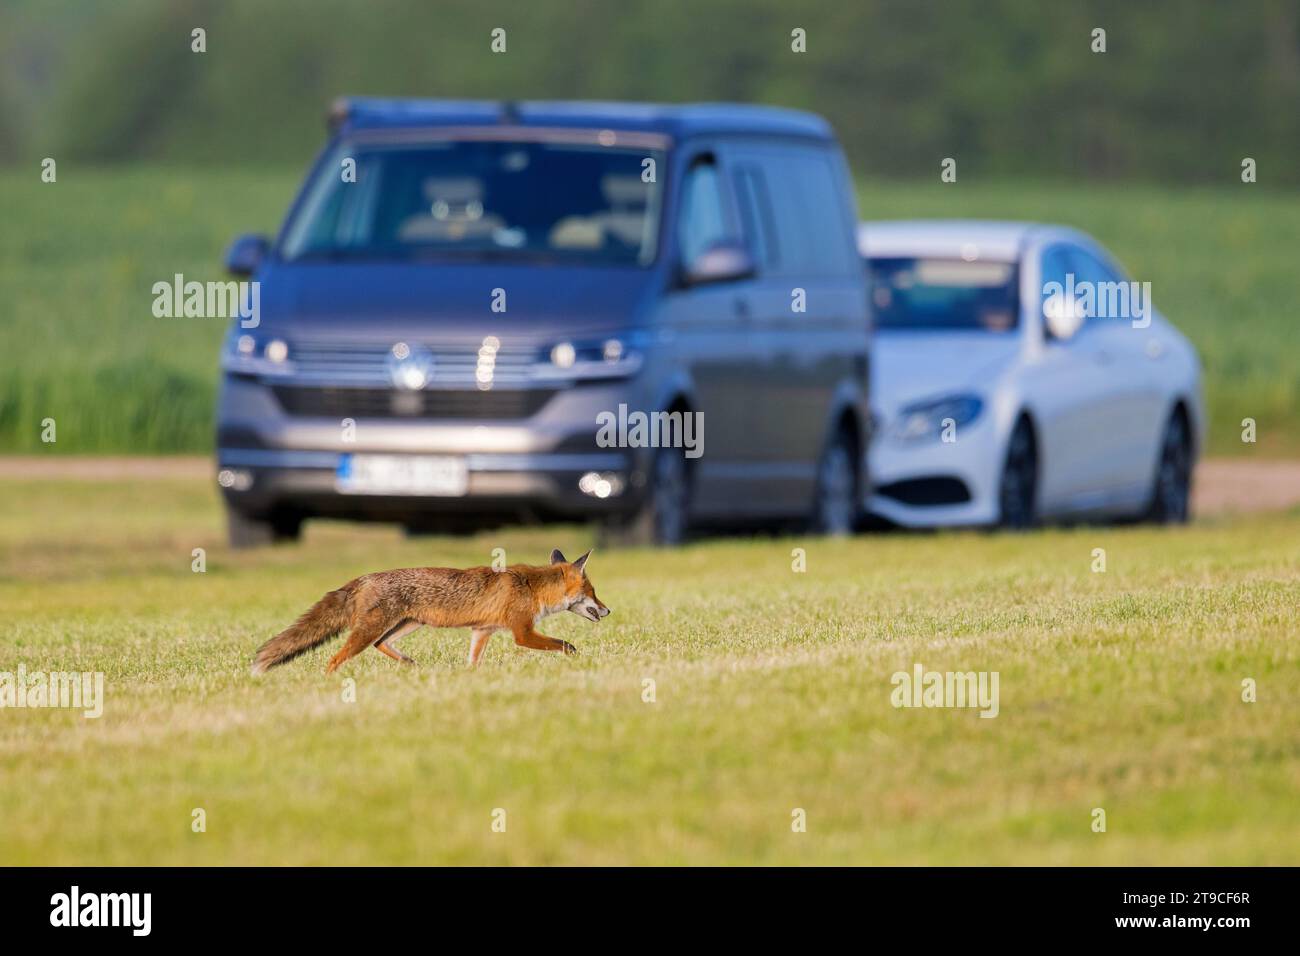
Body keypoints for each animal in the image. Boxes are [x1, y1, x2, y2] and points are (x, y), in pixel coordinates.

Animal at [252, 548, 608, 676]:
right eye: (593, 592)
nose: (608, 610)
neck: (532, 586)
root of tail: (364, 577)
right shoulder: (522, 632)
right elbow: (564, 644)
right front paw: (577, 658)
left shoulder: (482, 631)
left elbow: (473, 661)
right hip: (369, 631)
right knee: (334, 658)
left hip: (406, 625)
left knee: (382, 645)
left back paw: (410, 664)